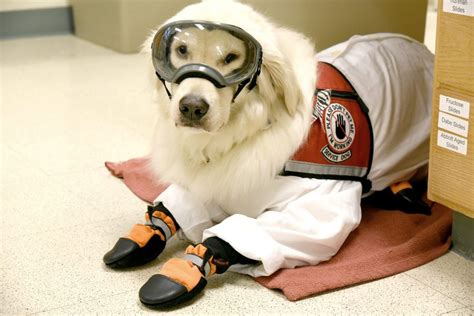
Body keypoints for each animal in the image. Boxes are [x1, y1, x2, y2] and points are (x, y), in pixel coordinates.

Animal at [103, 0, 434, 308]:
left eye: (231, 58)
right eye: (182, 49)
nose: (192, 107)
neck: (248, 130)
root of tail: (421, 49)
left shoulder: (322, 209)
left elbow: (242, 236)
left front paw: (187, 267)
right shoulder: (220, 182)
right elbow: (176, 206)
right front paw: (151, 228)